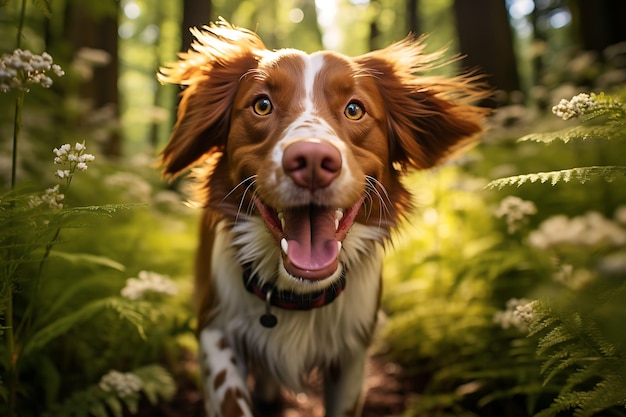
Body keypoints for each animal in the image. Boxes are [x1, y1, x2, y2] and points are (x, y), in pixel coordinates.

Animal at [158, 19, 490, 416]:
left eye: (354, 109)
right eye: (262, 105)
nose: (313, 161)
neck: (297, 296)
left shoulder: (352, 354)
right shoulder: (215, 328)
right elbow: (231, 399)